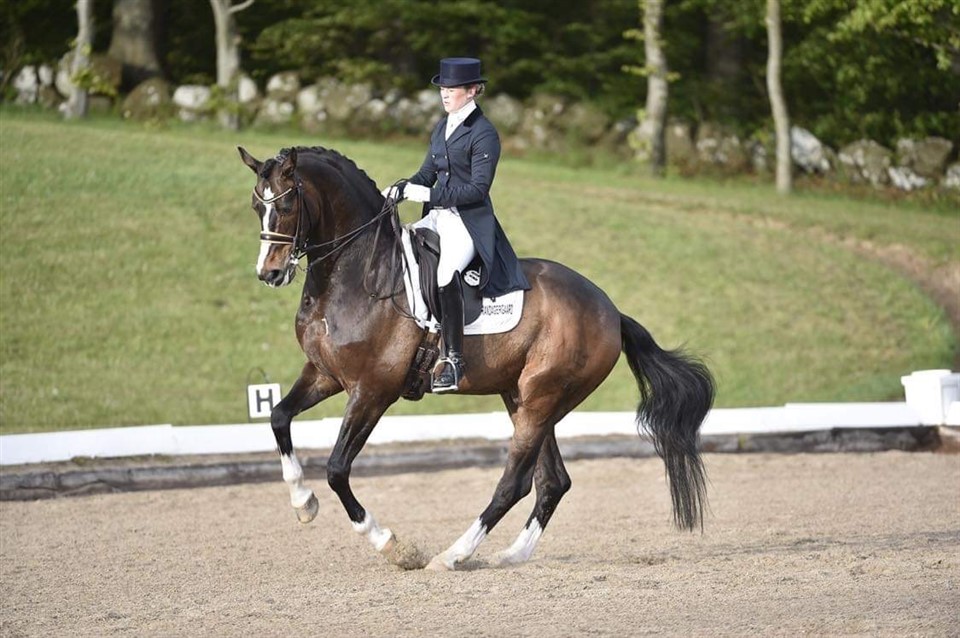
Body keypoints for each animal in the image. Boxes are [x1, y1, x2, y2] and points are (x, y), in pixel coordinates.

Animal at [234, 148, 712, 572]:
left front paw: (393, 546)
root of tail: (610, 311)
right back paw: (511, 556)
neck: (354, 275)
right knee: (552, 481)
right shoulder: (325, 374)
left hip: (541, 400)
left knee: (515, 482)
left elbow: (336, 469)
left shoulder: (372, 390)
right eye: (257, 205)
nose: (269, 273)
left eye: (288, 202)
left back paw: (453, 555)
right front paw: (303, 502)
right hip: (522, 398)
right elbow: (278, 416)